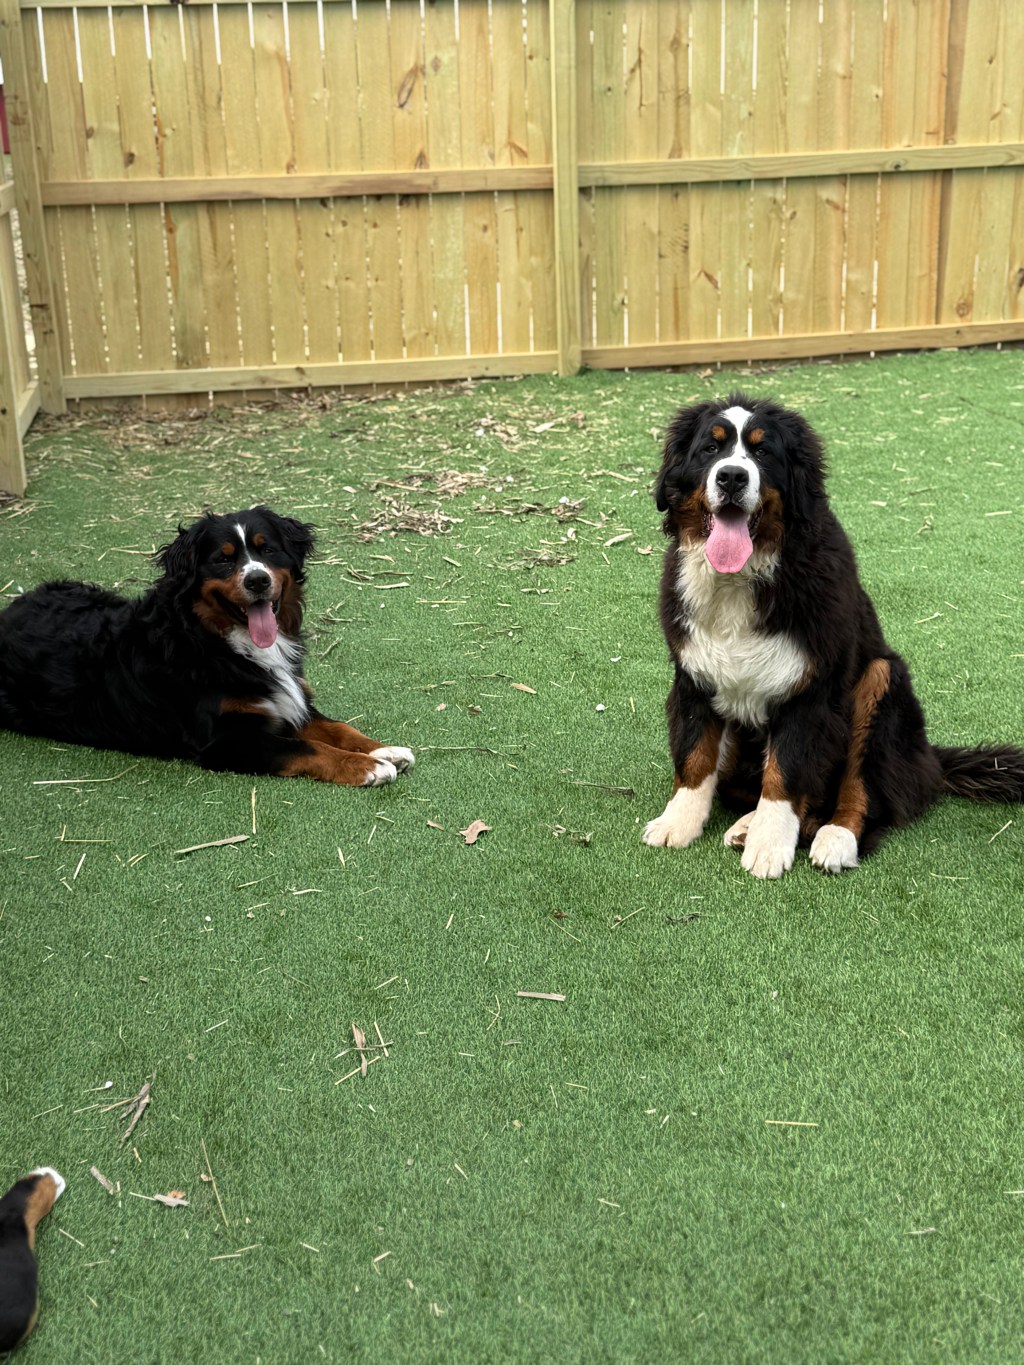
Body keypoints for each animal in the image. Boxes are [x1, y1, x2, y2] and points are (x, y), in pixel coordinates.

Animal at [0, 507, 414, 786]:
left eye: (267, 551)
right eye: (223, 559)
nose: (258, 581)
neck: (216, 642)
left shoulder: (290, 701)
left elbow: (339, 729)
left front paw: (384, 750)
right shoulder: (226, 740)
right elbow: (308, 748)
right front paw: (367, 767)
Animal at [643, 395, 1024, 878]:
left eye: (763, 452)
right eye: (710, 450)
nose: (731, 476)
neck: (743, 579)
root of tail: (930, 759)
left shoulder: (811, 690)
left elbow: (786, 774)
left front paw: (769, 845)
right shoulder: (695, 674)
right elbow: (694, 756)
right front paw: (678, 823)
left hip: (882, 678)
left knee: (862, 795)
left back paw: (832, 839)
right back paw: (746, 824)